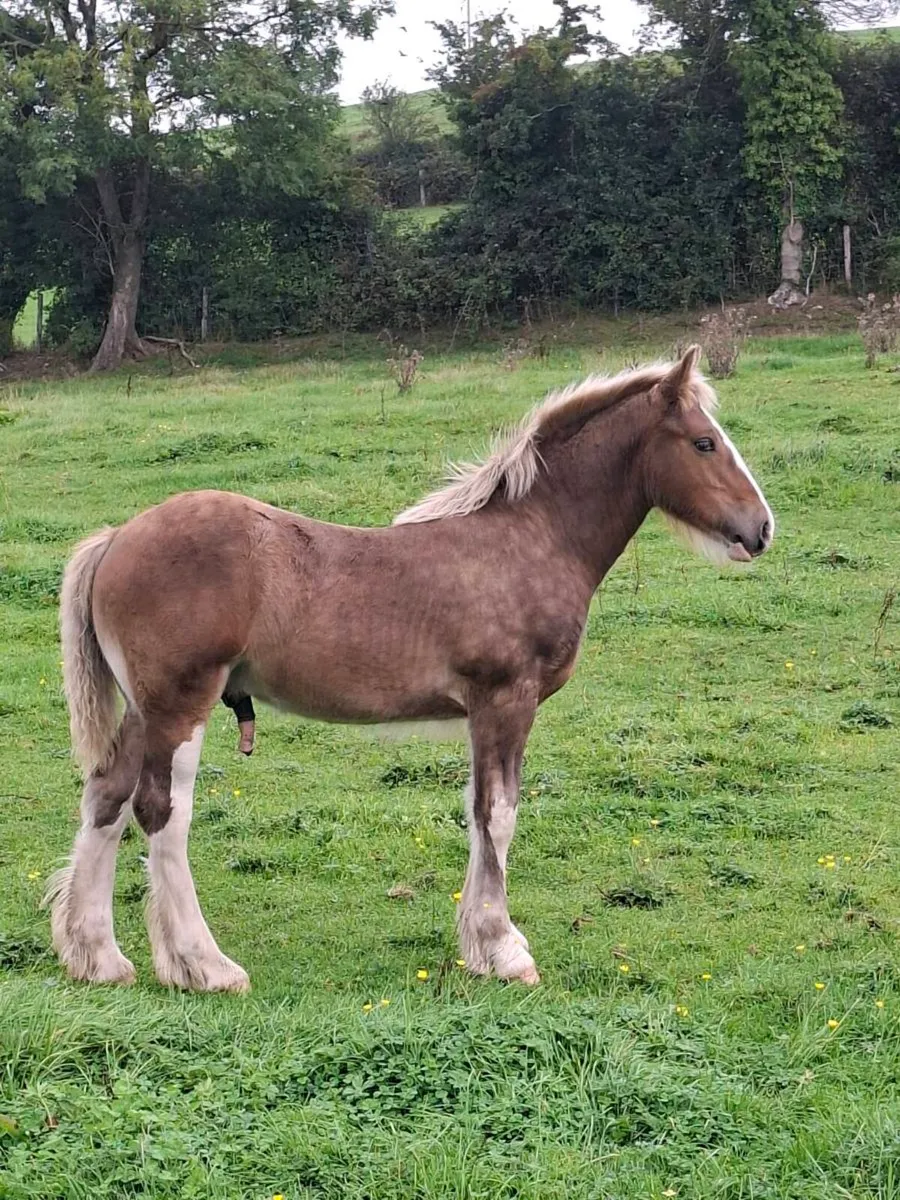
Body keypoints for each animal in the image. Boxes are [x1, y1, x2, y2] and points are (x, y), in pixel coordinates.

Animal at [46, 346, 774, 992]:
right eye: (704, 443)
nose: (761, 528)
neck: (531, 538)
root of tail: (114, 539)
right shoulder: (507, 699)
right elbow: (499, 815)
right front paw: (505, 952)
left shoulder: (483, 712)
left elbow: (478, 814)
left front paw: (480, 947)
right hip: (181, 703)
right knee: (162, 811)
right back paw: (205, 967)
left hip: (143, 709)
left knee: (107, 798)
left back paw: (98, 958)